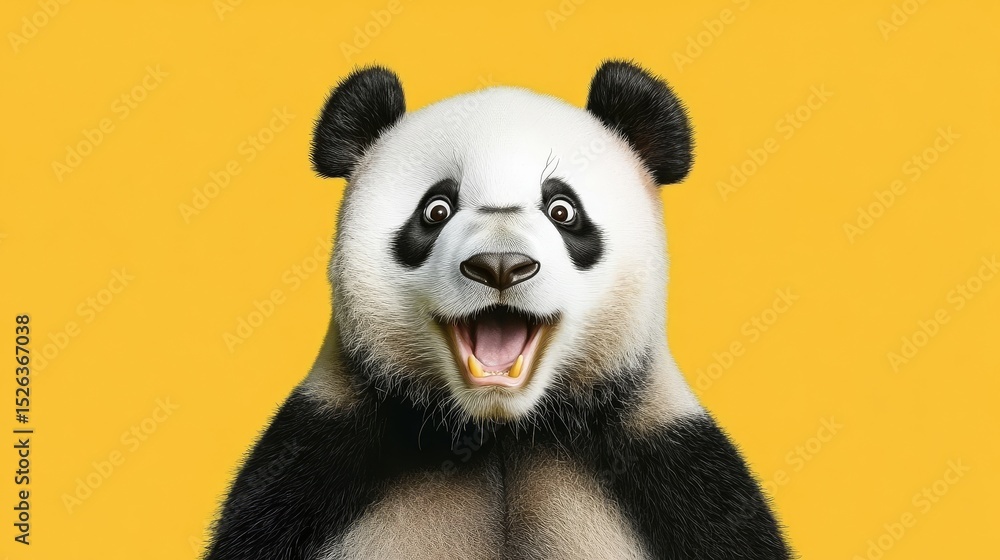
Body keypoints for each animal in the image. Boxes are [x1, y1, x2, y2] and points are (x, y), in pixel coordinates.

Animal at [205, 60, 791, 560]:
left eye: (563, 210)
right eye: (436, 209)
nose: (500, 265)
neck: (499, 432)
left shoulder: (679, 475)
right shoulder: (308, 468)